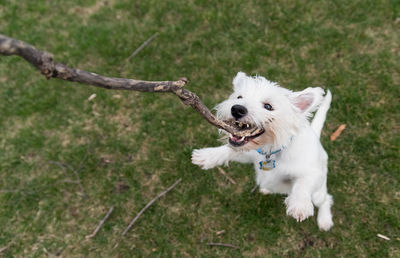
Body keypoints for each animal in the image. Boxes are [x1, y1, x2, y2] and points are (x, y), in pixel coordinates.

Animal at [192, 71, 332, 231]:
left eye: (268, 106)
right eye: (239, 97)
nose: (237, 109)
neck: (269, 150)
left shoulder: (312, 172)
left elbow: (303, 184)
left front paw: (299, 205)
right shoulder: (248, 154)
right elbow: (228, 150)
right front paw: (206, 156)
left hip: (318, 193)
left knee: (326, 199)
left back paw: (325, 220)